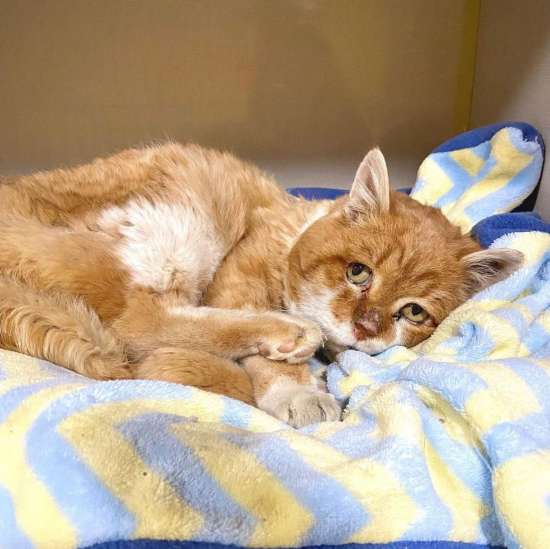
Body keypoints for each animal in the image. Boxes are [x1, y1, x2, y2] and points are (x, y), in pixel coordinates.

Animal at [0, 143, 524, 426]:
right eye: (358, 272)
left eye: (414, 312)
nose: (365, 327)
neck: (293, 227)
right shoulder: (238, 275)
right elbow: (265, 363)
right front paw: (299, 393)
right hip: (173, 227)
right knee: (141, 323)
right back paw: (289, 333)